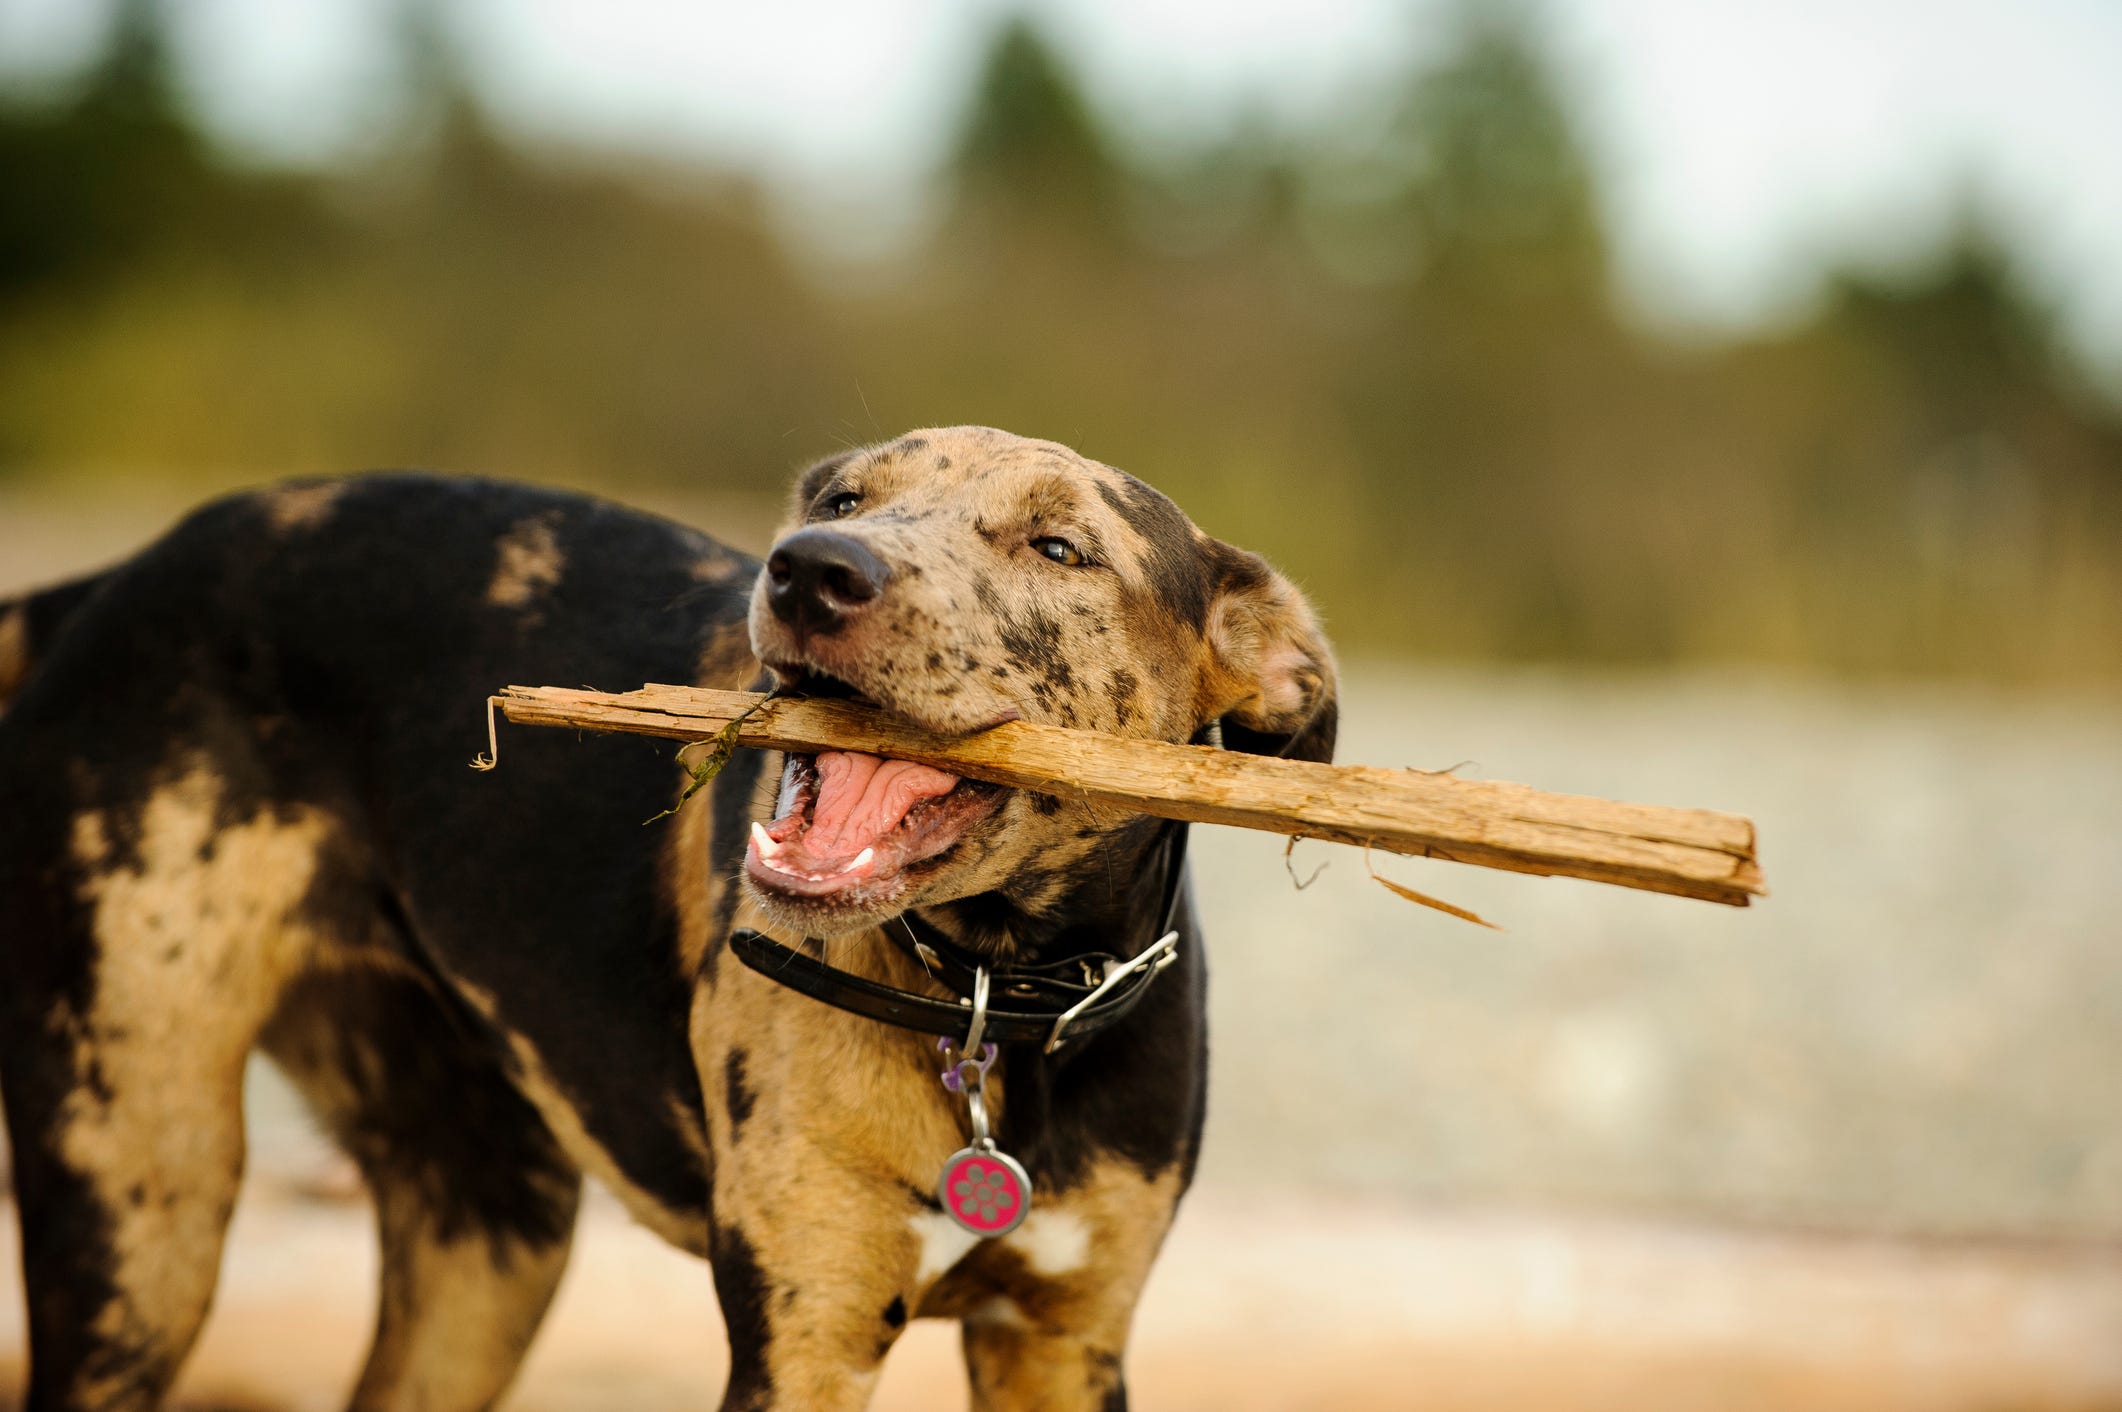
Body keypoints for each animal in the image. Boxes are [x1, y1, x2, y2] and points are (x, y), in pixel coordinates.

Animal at [0, 424, 1332, 1401]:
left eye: (1061, 545)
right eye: (843, 496)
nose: (811, 566)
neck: (997, 994)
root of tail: (113, 584)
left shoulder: (1061, 1338)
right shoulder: (806, 1332)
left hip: (488, 1235)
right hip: (137, 1202)